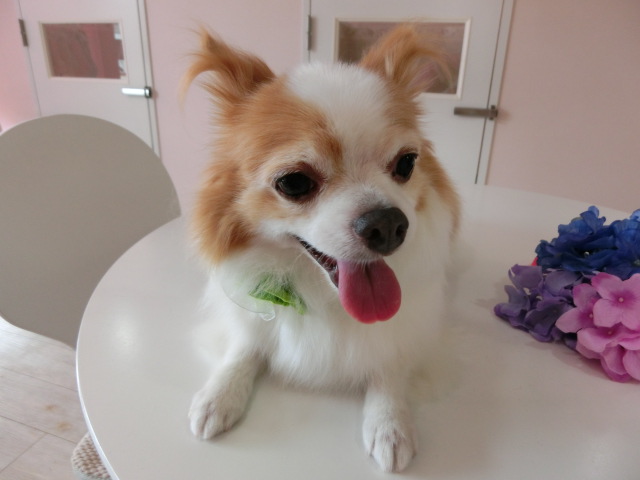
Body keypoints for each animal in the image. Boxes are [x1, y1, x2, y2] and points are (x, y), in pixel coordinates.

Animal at [184, 25, 460, 473]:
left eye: (406, 163)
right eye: (294, 183)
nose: (388, 224)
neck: (323, 296)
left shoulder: (406, 333)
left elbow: (389, 367)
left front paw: (390, 423)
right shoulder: (249, 316)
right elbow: (244, 347)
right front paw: (219, 394)